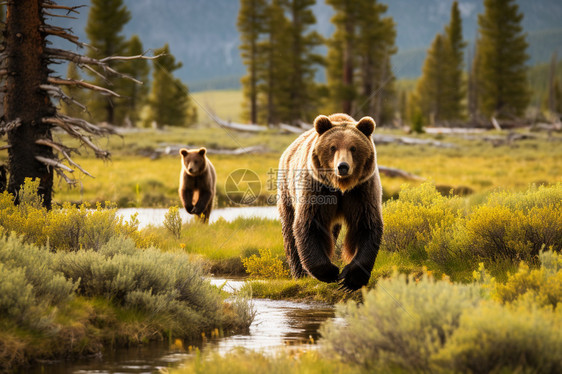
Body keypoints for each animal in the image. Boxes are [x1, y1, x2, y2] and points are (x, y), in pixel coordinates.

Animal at [276, 114, 382, 292]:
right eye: (333, 147)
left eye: (353, 148)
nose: (343, 167)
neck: (340, 187)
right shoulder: (317, 190)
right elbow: (309, 224)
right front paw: (331, 272)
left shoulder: (362, 191)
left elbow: (366, 225)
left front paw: (350, 280)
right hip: (287, 191)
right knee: (290, 232)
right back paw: (299, 273)